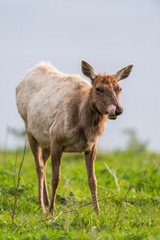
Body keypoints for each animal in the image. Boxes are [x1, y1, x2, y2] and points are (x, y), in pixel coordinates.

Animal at [15, 60, 134, 216]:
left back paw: (46, 202)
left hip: (46, 140)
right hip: (29, 128)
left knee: (43, 162)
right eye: (98, 88)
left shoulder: (91, 146)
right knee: (39, 166)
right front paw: (51, 213)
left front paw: (97, 212)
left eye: (119, 88)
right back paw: (42, 206)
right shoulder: (57, 139)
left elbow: (93, 180)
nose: (118, 109)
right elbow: (56, 179)